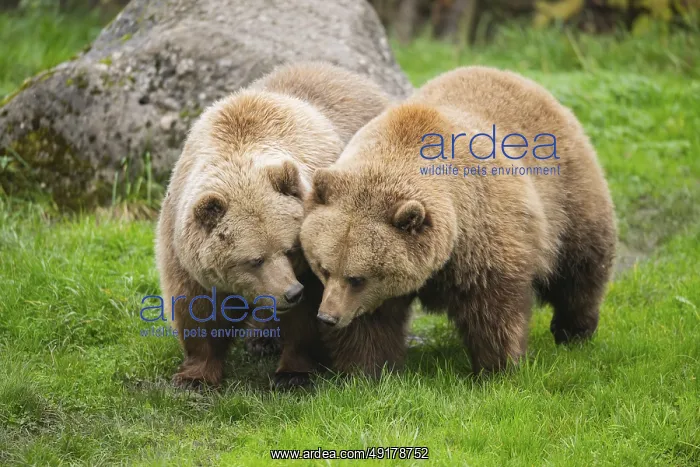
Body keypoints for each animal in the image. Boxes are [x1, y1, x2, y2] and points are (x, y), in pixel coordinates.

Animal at [155, 62, 391, 387]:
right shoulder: (182, 245)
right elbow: (197, 308)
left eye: (291, 249)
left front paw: (293, 374)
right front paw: (194, 376)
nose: (291, 292)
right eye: (254, 260)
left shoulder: (317, 258)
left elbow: (308, 317)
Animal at [300, 66, 617, 375]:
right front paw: (364, 370)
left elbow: (492, 305)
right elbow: (370, 324)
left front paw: (497, 367)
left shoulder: (480, 232)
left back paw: (574, 330)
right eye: (323, 268)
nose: (327, 316)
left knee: (580, 266)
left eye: (357, 278)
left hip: (566, 193)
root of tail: (512, 75)